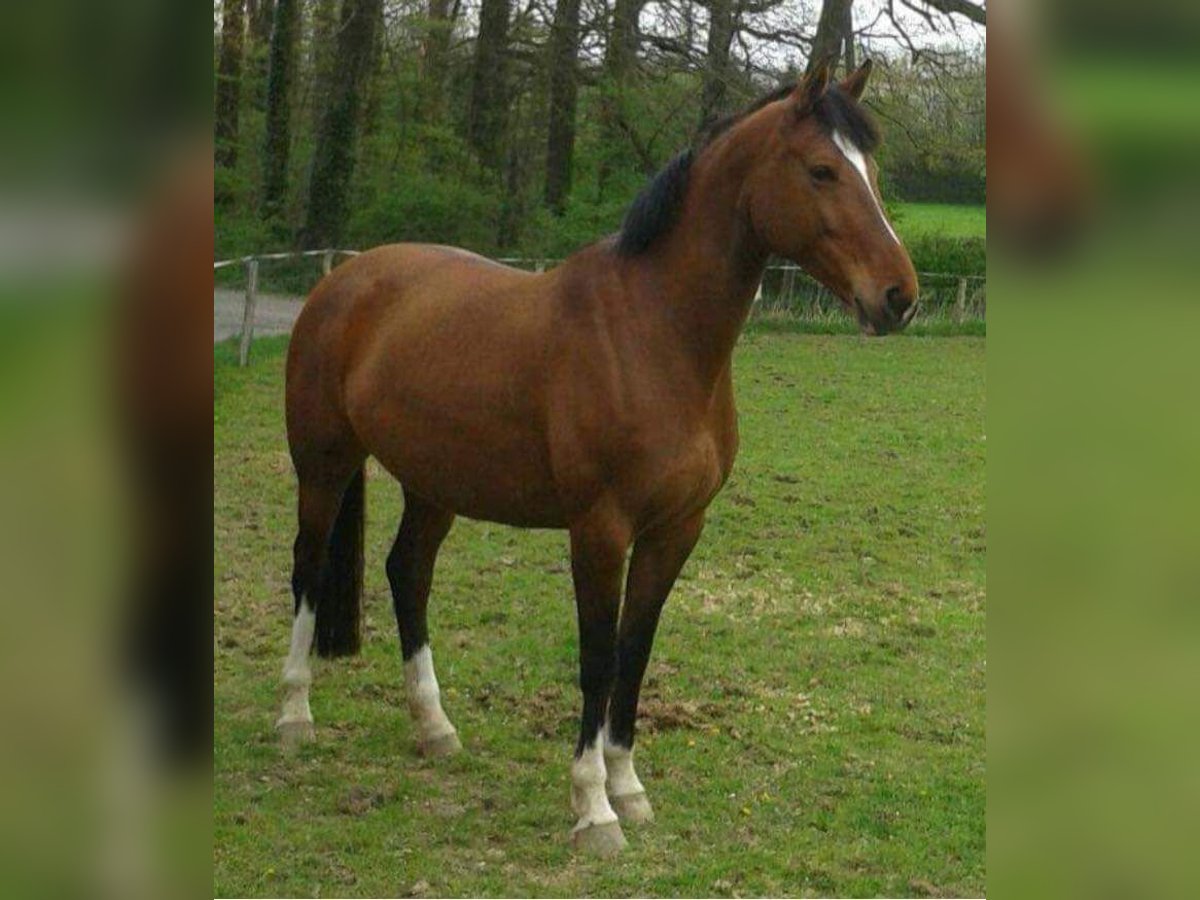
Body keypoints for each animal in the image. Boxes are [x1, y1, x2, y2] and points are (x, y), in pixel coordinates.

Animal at [278, 60, 916, 854]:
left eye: (872, 172)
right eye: (823, 170)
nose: (899, 296)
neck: (652, 334)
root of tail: (343, 280)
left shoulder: (676, 531)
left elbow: (633, 654)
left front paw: (629, 788)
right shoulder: (601, 530)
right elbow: (596, 657)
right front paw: (593, 808)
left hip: (435, 484)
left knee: (408, 573)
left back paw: (434, 727)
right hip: (324, 464)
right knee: (307, 569)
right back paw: (294, 715)